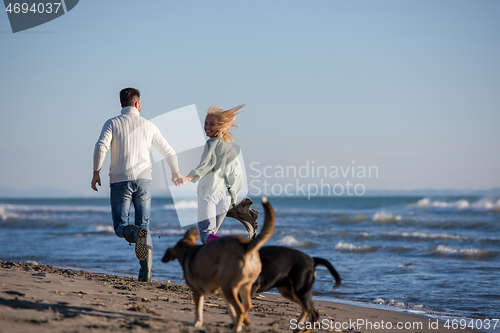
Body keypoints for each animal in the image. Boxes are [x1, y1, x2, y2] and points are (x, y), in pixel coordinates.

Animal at [162, 196, 276, 330]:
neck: (188, 249)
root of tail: (246, 248)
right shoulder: (221, 291)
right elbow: (231, 310)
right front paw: (238, 321)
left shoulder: (198, 291)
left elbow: (198, 310)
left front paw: (196, 323)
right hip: (241, 285)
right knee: (246, 306)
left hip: (228, 286)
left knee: (240, 308)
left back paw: (236, 328)